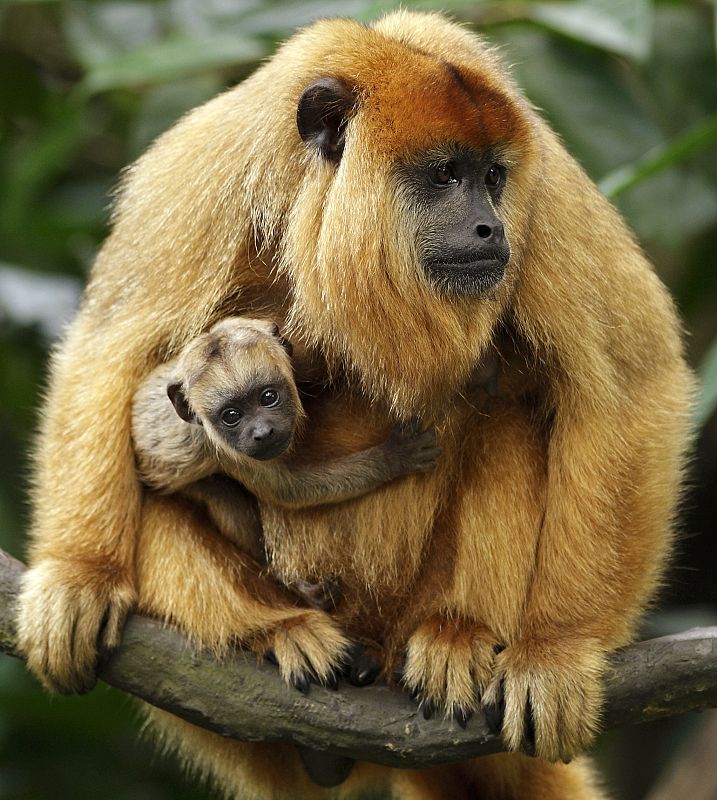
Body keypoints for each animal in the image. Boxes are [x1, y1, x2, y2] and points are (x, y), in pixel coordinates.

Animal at [16, 10, 692, 800]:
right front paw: (76, 576)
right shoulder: (201, 176)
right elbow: (110, 348)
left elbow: (628, 379)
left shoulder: (545, 188)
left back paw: (456, 634)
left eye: (492, 178)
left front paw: (558, 651)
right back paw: (275, 630)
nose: (490, 226)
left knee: (514, 416)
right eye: (443, 175)